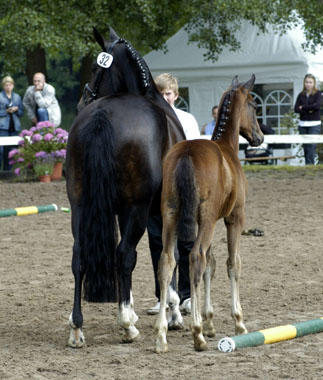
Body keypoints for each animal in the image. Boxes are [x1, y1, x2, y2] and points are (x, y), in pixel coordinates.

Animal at [66, 26, 186, 348]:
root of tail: (101, 115)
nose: (81, 102)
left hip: (79, 203)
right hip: (137, 209)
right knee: (124, 254)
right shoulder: (158, 209)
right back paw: (126, 326)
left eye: (95, 68)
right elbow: (167, 253)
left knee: (79, 255)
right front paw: (172, 312)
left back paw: (77, 328)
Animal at [156, 74, 264, 354]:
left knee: (168, 261)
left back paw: (161, 335)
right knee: (195, 257)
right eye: (254, 106)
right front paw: (238, 322)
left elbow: (211, 265)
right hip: (206, 220)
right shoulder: (233, 219)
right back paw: (197, 334)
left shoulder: (208, 221)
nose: (259, 137)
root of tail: (186, 154)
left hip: (172, 216)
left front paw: (210, 320)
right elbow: (232, 263)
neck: (227, 149)